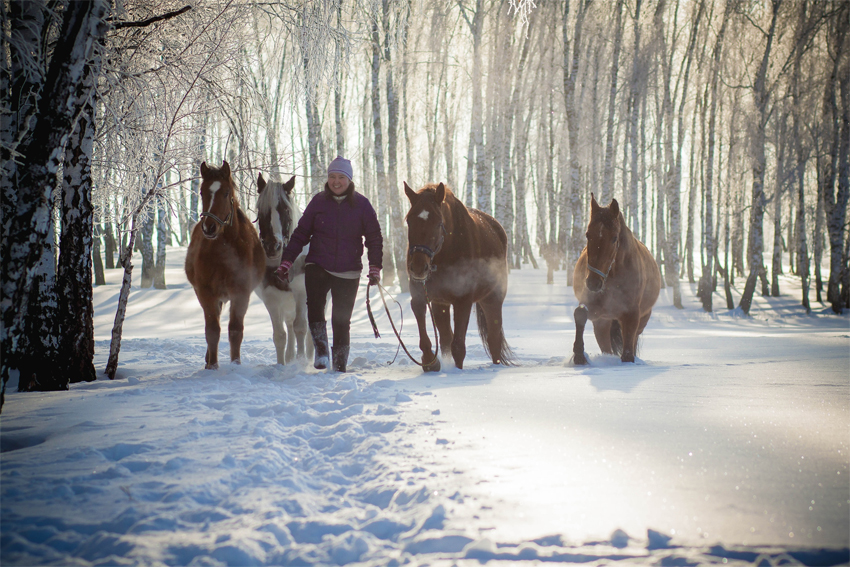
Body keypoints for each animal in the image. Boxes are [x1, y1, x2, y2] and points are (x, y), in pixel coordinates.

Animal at [184, 162, 264, 370]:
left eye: (227, 192)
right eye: (202, 192)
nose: (209, 227)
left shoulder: (241, 294)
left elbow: (235, 330)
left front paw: (236, 364)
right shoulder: (206, 293)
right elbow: (212, 330)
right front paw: (213, 366)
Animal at [255, 175, 314, 366]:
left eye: (286, 210)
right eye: (260, 210)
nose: (273, 247)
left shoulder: (302, 292)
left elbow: (301, 327)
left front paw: (302, 361)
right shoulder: (271, 298)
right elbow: (280, 335)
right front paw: (282, 365)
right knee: (289, 325)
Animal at [406, 182, 516, 372]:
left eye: (438, 222)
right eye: (408, 220)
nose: (419, 267)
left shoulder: (463, 301)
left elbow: (458, 347)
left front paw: (457, 372)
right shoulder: (421, 294)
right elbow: (428, 331)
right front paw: (429, 360)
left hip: (492, 299)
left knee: (493, 339)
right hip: (440, 304)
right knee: (445, 338)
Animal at [568, 194, 664, 364]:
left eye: (614, 238)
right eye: (588, 235)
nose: (593, 283)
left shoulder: (631, 314)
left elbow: (628, 351)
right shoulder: (595, 310)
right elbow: (580, 314)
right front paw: (579, 355)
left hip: (642, 320)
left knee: (632, 339)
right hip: (603, 324)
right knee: (606, 345)